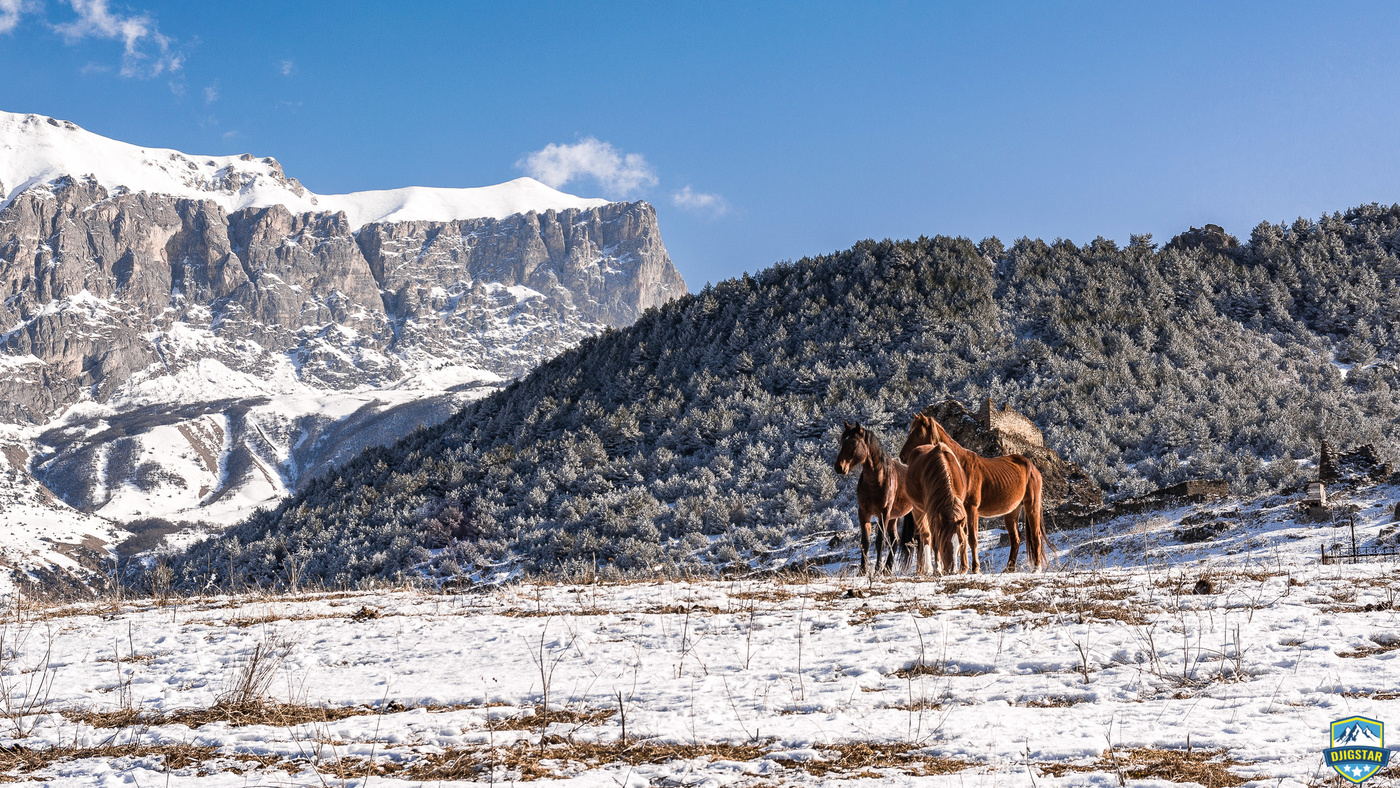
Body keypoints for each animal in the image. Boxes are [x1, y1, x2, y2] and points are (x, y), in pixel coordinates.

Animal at [828, 422, 918, 576]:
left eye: (853, 442)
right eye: (841, 441)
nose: (839, 467)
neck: (877, 480)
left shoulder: (884, 513)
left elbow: (879, 541)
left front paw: (876, 570)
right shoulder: (864, 512)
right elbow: (865, 542)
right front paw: (862, 571)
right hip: (894, 517)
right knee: (895, 540)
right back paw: (887, 569)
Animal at [901, 442, 968, 576]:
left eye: (961, 543)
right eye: (945, 542)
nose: (952, 570)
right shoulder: (933, 515)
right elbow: (935, 541)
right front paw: (937, 568)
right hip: (918, 511)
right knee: (925, 536)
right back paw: (925, 568)